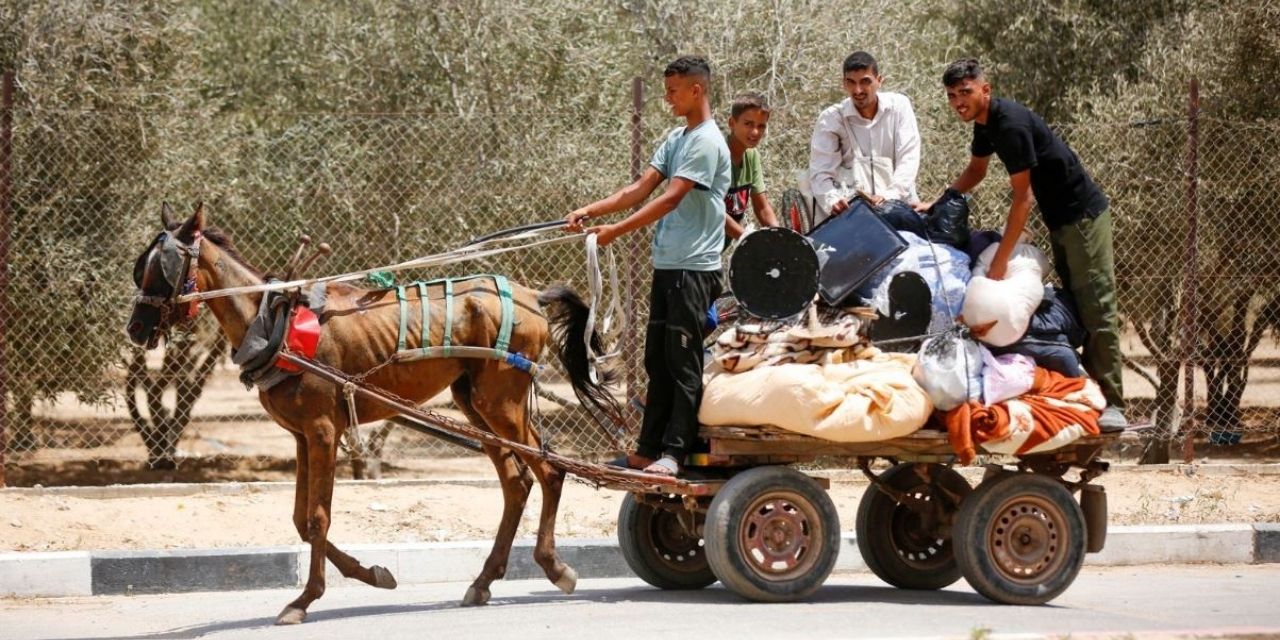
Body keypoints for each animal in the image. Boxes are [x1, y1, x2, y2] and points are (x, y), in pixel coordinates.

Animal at [126, 204, 619, 624]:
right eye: (141, 266)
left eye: (161, 269)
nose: (135, 328)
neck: (274, 326)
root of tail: (531, 294)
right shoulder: (302, 436)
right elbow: (301, 520)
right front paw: (371, 575)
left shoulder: (323, 431)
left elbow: (317, 517)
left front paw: (305, 600)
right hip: (474, 403)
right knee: (517, 482)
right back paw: (483, 581)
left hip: (502, 403)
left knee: (550, 471)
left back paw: (554, 567)